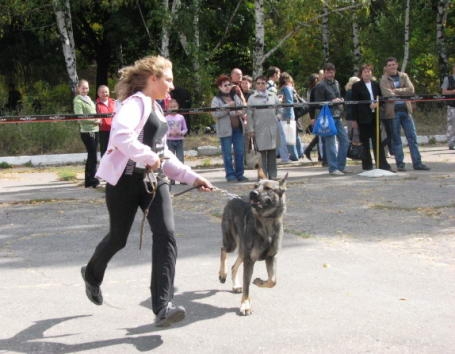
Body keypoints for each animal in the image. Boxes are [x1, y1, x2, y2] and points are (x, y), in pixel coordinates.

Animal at [218, 171, 288, 316]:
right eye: (255, 186)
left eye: (268, 188)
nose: (252, 193)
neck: (266, 223)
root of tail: (233, 199)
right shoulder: (250, 260)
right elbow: (247, 287)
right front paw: (245, 305)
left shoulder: (271, 257)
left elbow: (273, 281)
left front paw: (259, 282)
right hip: (232, 243)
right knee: (223, 250)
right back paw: (222, 274)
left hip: (243, 250)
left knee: (234, 266)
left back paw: (235, 285)